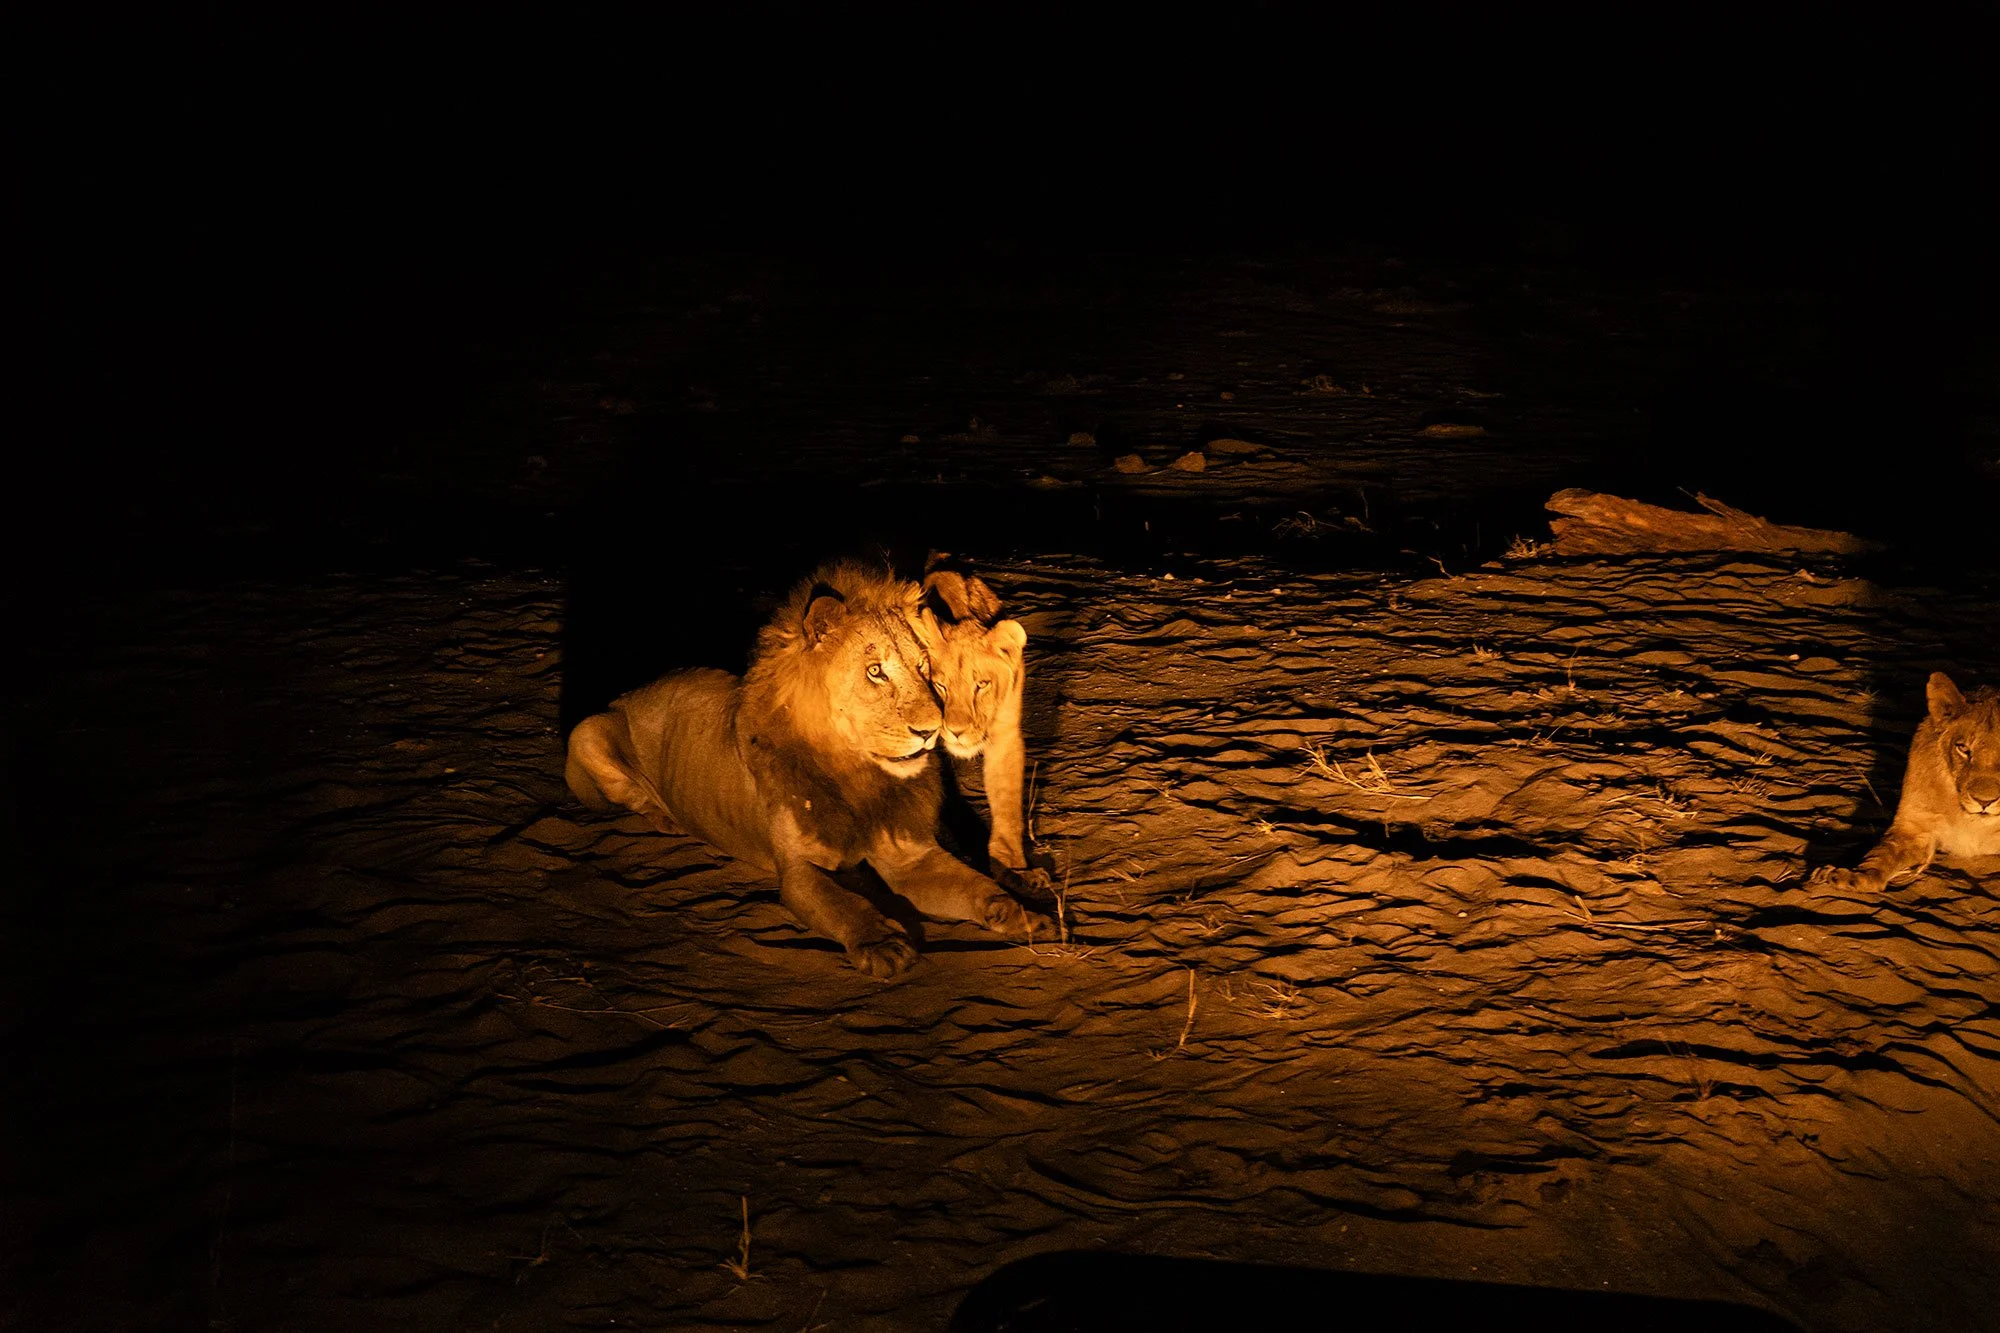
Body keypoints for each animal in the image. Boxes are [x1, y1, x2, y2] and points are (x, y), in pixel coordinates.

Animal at [564, 562, 1053, 976]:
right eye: (875, 671)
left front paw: (1026, 913)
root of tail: (633, 690)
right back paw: (665, 817)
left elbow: (977, 887)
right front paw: (882, 944)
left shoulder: (909, 856)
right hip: (587, 732)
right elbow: (843, 905)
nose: (931, 731)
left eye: (923, 667)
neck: (858, 775)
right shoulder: (798, 871)